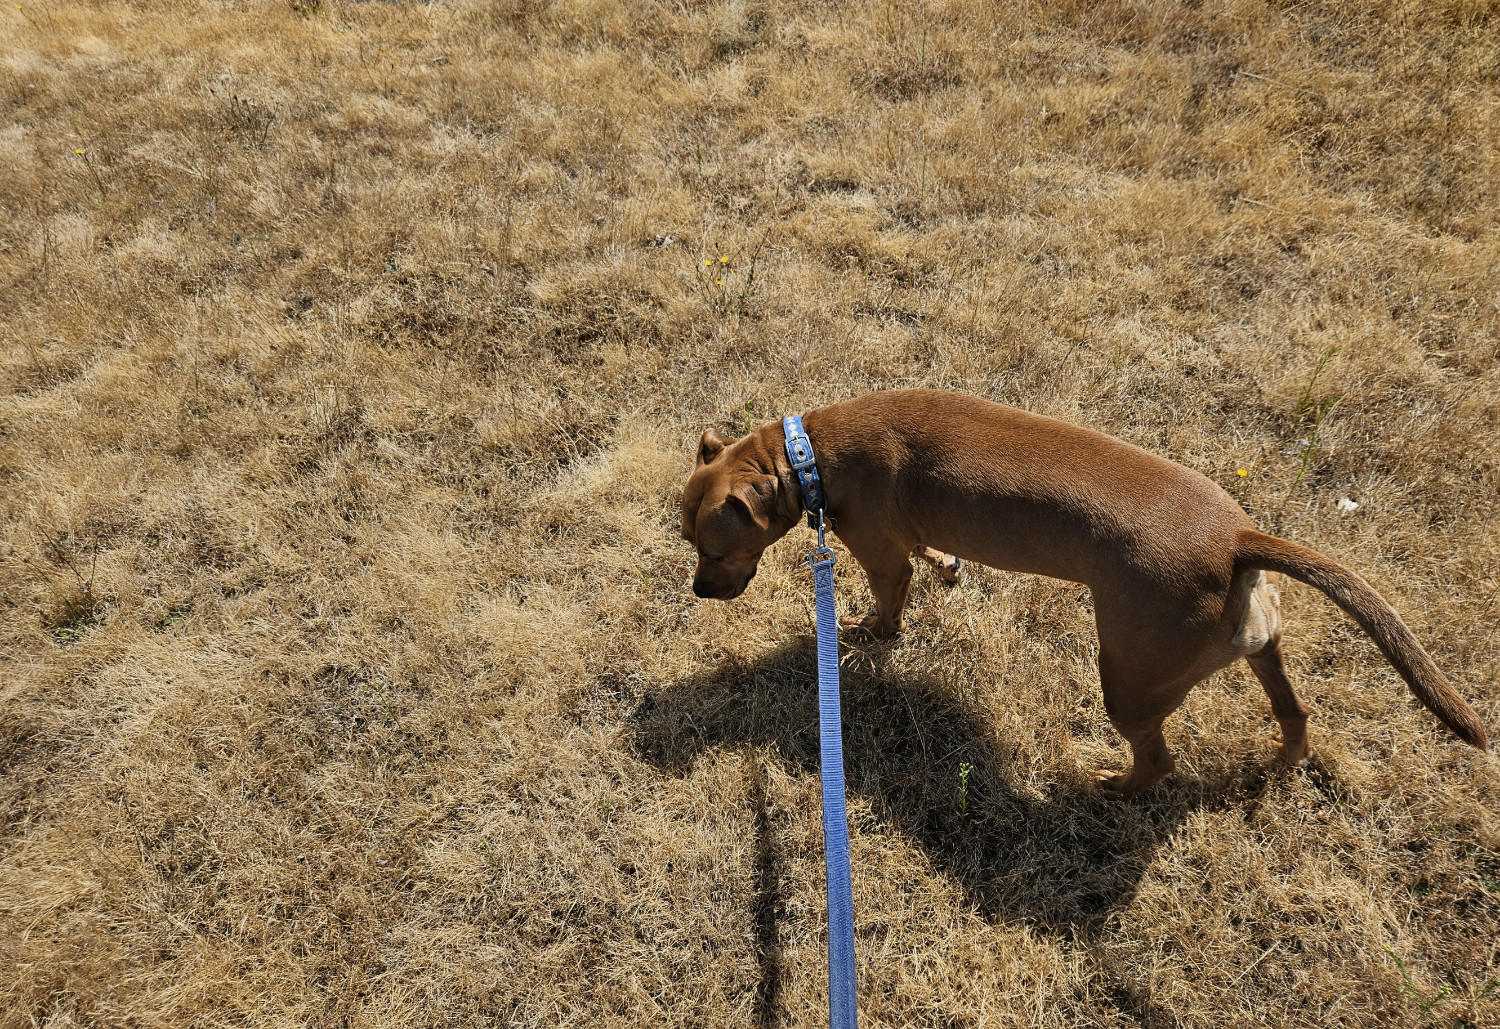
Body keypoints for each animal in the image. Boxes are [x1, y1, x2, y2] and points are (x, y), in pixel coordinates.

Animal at [681, 390, 1488, 798]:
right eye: (689, 542)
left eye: (713, 550)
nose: (699, 590)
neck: (804, 455)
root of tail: (1236, 539)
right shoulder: (907, 538)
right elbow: (933, 558)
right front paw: (947, 567)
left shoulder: (879, 556)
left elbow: (886, 609)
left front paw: (863, 636)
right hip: (1260, 649)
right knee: (1294, 710)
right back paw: (1284, 763)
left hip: (1129, 677)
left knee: (1158, 763)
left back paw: (1112, 784)